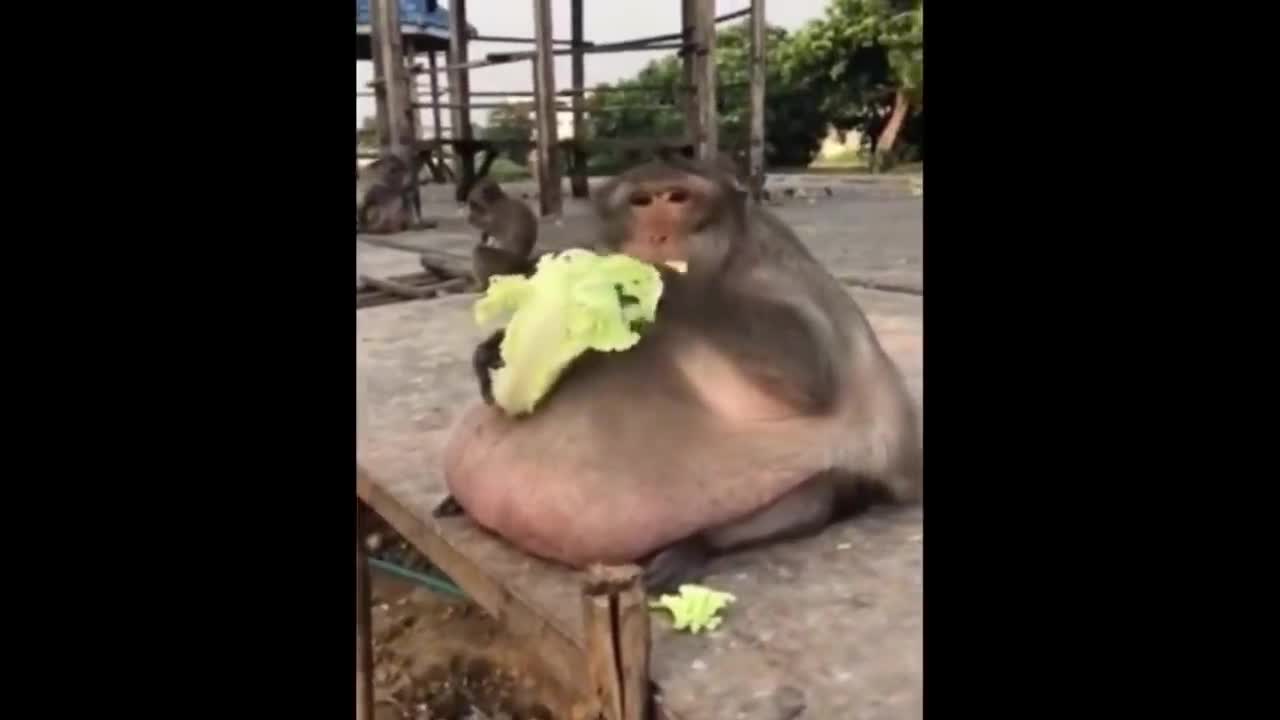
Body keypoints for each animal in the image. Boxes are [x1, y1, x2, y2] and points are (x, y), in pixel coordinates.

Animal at [440, 152, 921, 589]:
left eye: (677, 198)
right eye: (641, 201)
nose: (659, 234)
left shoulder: (772, 273)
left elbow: (810, 375)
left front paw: (646, 278)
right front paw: (495, 350)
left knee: (817, 493)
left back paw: (695, 545)